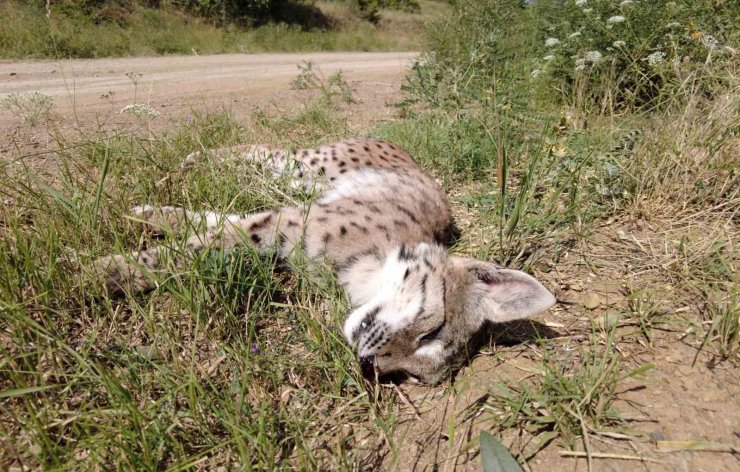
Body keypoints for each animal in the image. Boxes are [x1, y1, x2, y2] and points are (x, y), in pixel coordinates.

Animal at [92, 137, 556, 384]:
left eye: (407, 375)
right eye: (432, 332)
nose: (368, 365)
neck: (364, 268)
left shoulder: (277, 227)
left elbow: (208, 226)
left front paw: (150, 219)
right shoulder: (285, 224)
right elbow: (181, 254)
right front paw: (91, 273)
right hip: (306, 167)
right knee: (258, 148)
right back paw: (188, 163)